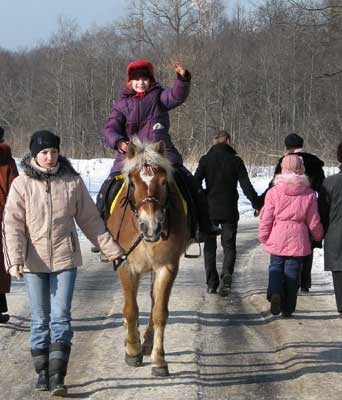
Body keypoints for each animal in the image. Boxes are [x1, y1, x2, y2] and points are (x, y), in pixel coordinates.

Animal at [106, 139, 190, 376]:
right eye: (133, 184)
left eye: (163, 182)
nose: (151, 226)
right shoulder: (126, 266)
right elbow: (131, 310)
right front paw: (132, 351)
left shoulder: (166, 267)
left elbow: (159, 312)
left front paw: (158, 359)